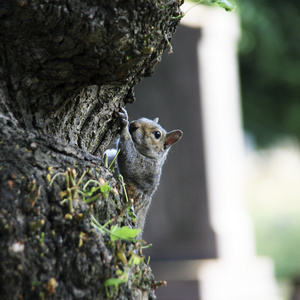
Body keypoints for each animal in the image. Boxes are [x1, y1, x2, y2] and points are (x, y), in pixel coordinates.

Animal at [115, 108, 183, 237]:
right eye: (143, 118)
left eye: (157, 134)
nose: (133, 125)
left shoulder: (145, 169)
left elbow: (129, 159)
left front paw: (125, 126)